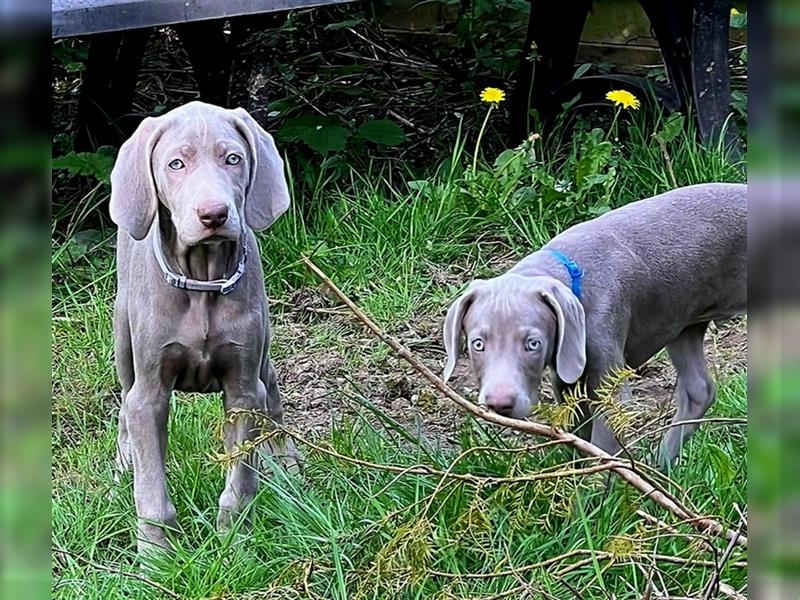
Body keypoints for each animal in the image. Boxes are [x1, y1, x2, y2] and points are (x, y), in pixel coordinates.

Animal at [111, 102, 298, 552]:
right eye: (176, 164)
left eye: (233, 159)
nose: (213, 214)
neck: (202, 282)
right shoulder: (149, 395)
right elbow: (151, 488)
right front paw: (156, 555)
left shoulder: (244, 389)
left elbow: (241, 478)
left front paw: (235, 539)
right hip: (122, 339)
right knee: (124, 404)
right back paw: (122, 468)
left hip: (263, 354)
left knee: (273, 391)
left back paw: (285, 462)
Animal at [444, 183, 752, 464]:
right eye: (478, 344)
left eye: (533, 344)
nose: (500, 403)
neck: (572, 273)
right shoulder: (567, 382)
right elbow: (579, 437)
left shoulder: (609, 380)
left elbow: (602, 451)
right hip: (682, 320)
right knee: (699, 389)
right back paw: (660, 464)